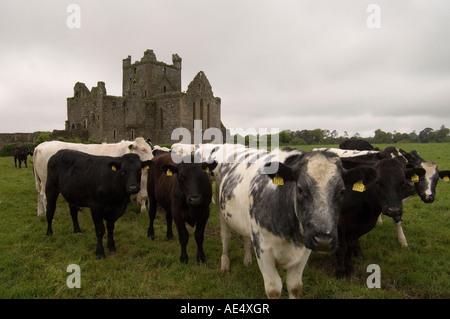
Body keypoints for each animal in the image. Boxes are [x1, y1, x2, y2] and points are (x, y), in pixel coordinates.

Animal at [218, 149, 376, 298]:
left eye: (342, 191)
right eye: (300, 189)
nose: (323, 240)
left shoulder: (304, 250)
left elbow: (294, 286)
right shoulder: (263, 249)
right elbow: (274, 289)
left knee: (245, 236)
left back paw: (247, 260)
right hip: (223, 215)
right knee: (225, 238)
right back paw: (225, 265)